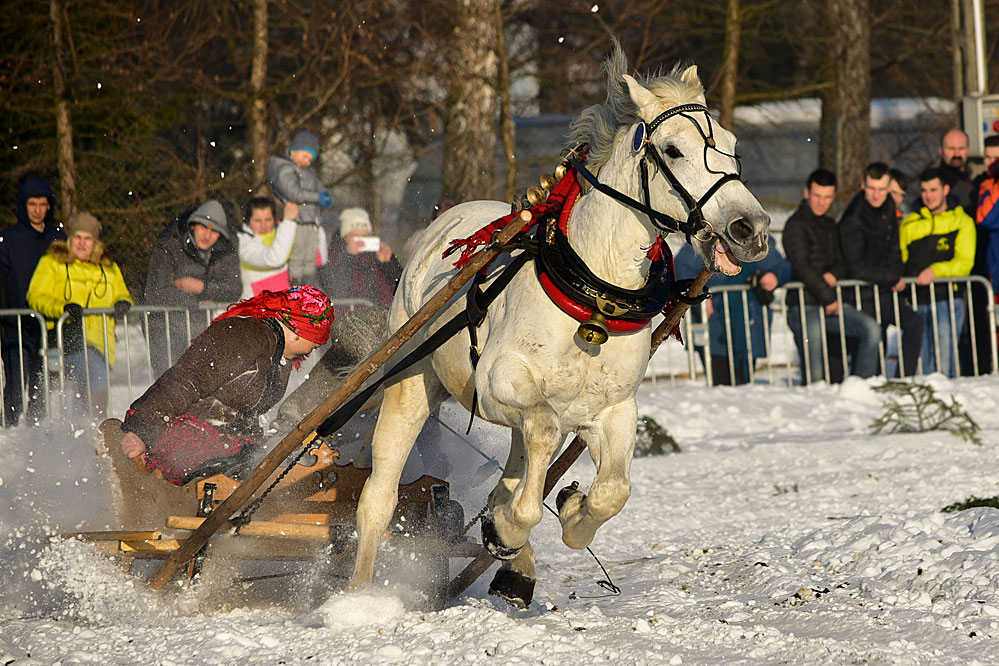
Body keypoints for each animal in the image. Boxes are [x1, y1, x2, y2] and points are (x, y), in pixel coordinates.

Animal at [348, 44, 768, 604]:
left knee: (517, 467)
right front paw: (507, 527)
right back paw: (358, 597)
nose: (752, 228)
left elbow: (612, 491)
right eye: (674, 151)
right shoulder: (501, 383)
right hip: (411, 386)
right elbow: (541, 444)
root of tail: (445, 221)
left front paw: (567, 514)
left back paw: (514, 558)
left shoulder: (614, 409)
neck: (593, 300)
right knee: (380, 497)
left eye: (732, 146)